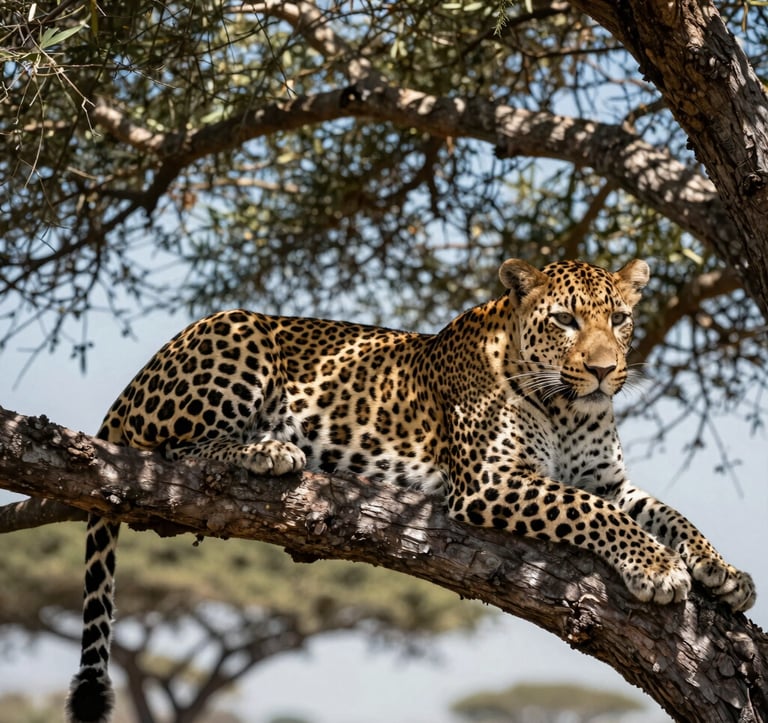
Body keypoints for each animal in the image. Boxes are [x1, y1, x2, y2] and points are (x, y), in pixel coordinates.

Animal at [66, 258, 756, 723]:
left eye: (619, 318)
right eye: (565, 320)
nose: (604, 370)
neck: (568, 409)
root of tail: (130, 387)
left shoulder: (609, 482)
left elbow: (666, 512)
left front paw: (724, 573)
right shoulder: (493, 480)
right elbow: (589, 512)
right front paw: (657, 568)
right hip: (236, 336)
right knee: (172, 450)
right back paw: (267, 448)